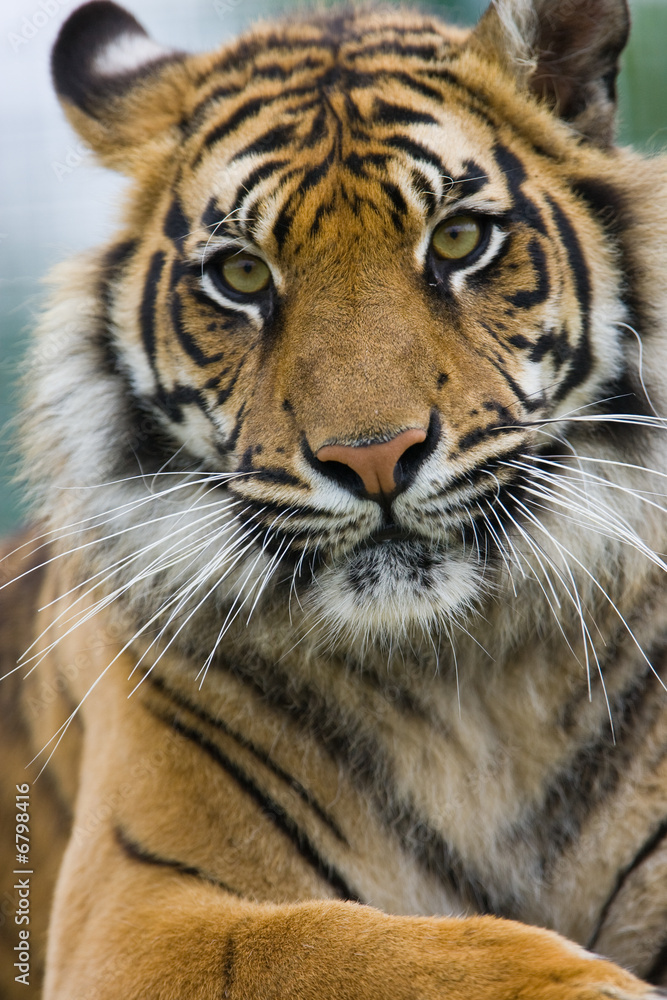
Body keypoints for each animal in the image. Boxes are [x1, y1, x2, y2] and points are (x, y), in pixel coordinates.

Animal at [1, 0, 667, 996]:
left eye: (458, 240)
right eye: (241, 275)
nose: (375, 458)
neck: (466, 680)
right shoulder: (132, 914)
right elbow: (360, 946)